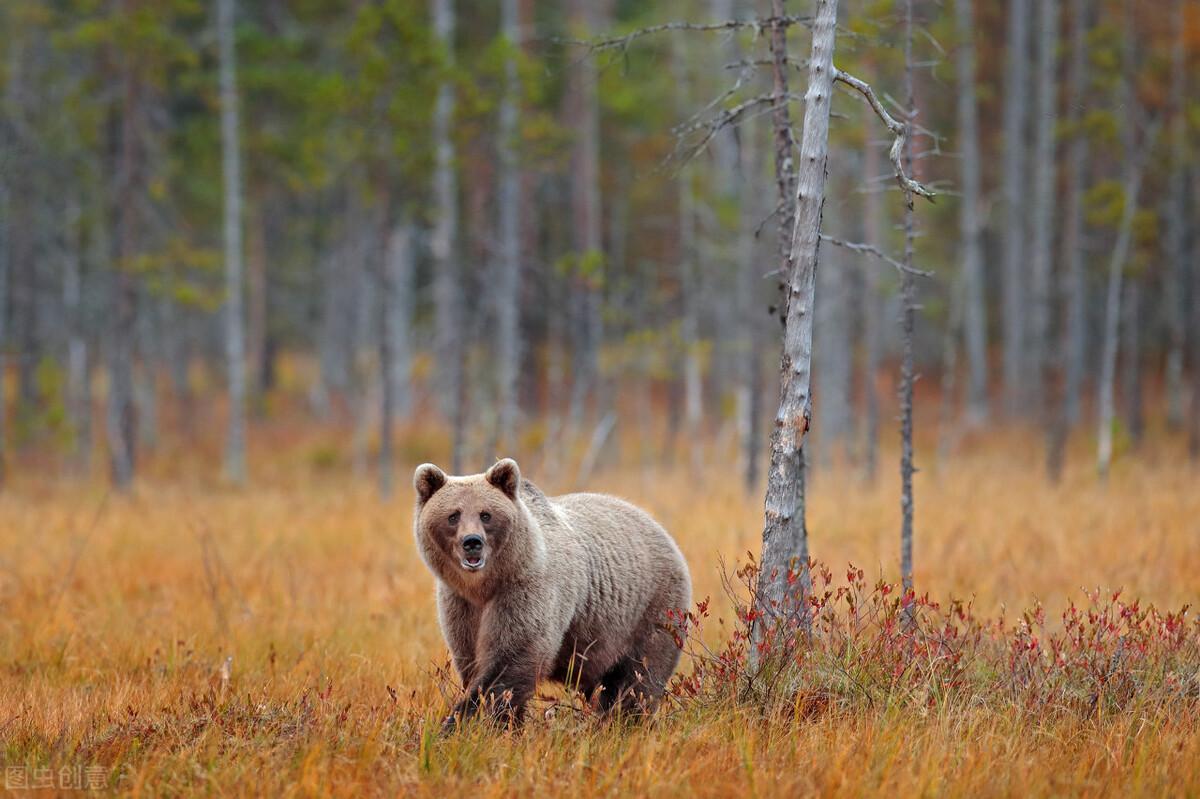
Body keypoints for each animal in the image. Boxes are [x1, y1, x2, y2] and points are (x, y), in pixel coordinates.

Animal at [415, 458, 691, 724]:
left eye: (486, 514)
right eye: (453, 515)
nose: (472, 542)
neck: (485, 586)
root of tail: (661, 529)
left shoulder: (527, 591)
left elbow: (511, 661)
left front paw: (464, 720)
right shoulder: (459, 604)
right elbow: (471, 660)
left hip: (650, 610)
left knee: (639, 677)